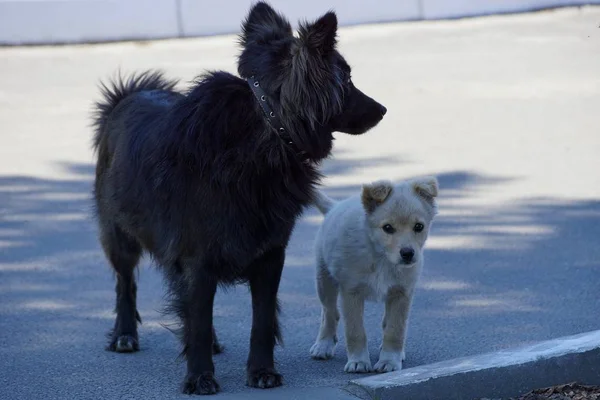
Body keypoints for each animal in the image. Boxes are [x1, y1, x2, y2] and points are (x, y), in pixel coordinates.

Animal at [92, 1, 386, 396]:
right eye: (349, 80)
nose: (383, 109)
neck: (267, 130)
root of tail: (128, 94)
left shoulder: (269, 254)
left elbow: (259, 320)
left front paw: (261, 371)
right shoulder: (197, 258)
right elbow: (198, 322)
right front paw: (200, 376)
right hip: (119, 235)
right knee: (126, 284)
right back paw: (125, 335)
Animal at [310, 177, 436, 374]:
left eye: (419, 227)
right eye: (387, 228)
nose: (408, 253)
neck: (381, 257)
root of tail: (334, 207)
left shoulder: (402, 293)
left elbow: (395, 330)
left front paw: (390, 360)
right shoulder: (351, 293)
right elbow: (355, 331)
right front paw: (358, 361)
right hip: (324, 281)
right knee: (329, 313)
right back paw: (323, 344)